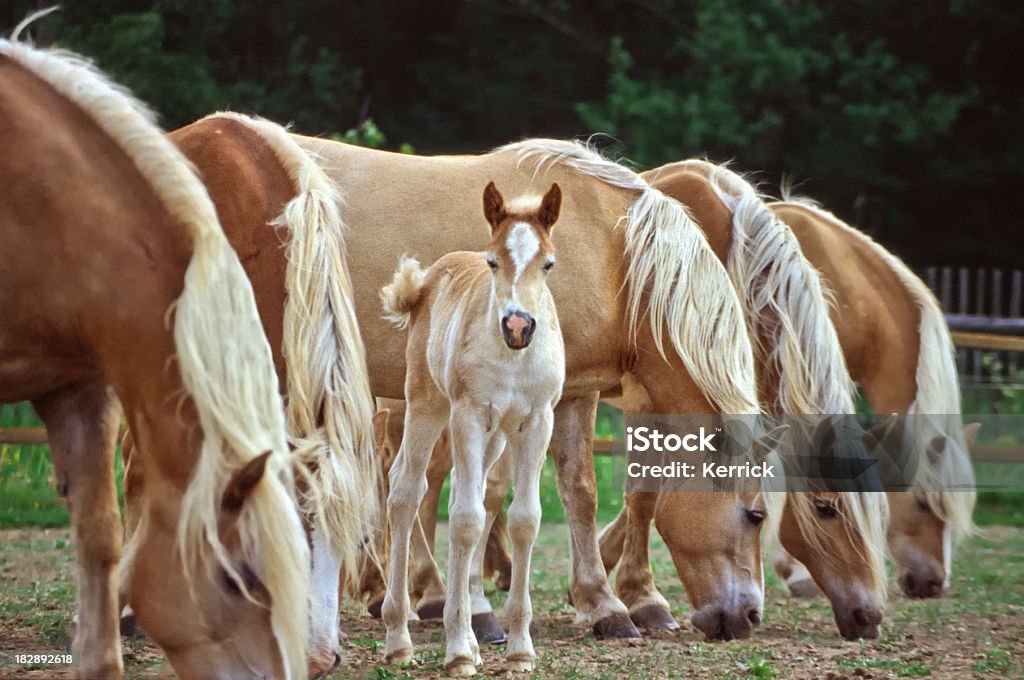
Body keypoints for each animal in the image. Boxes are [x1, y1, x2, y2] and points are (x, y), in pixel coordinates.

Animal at [380, 180, 569, 675]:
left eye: (548, 263)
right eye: (493, 262)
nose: (518, 326)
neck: (513, 358)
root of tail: (431, 277)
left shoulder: (536, 420)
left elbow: (524, 520)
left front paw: (519, 650)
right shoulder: (466, 415)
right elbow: (465, 519)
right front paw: (458, 653)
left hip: (496, 435)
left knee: (477, 494)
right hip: (426, 405)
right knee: (405, 491)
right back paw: (399, 638)